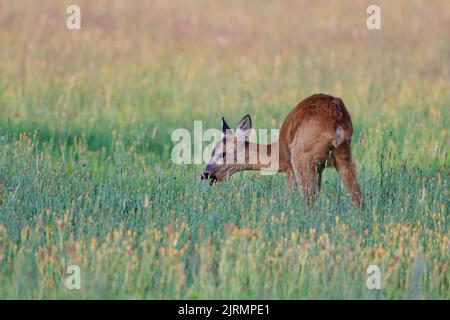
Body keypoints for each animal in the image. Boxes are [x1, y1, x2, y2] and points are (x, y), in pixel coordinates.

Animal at [200, 94, 362, 206]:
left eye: (223, 153)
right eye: (212, 151)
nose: (205, 174)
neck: (278, 154)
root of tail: (338, 117)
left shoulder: (289, 169)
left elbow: (289, 197)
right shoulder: (319, 169)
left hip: (301, 157)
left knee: (309, 199)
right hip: (343, 153)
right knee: (357, 196)